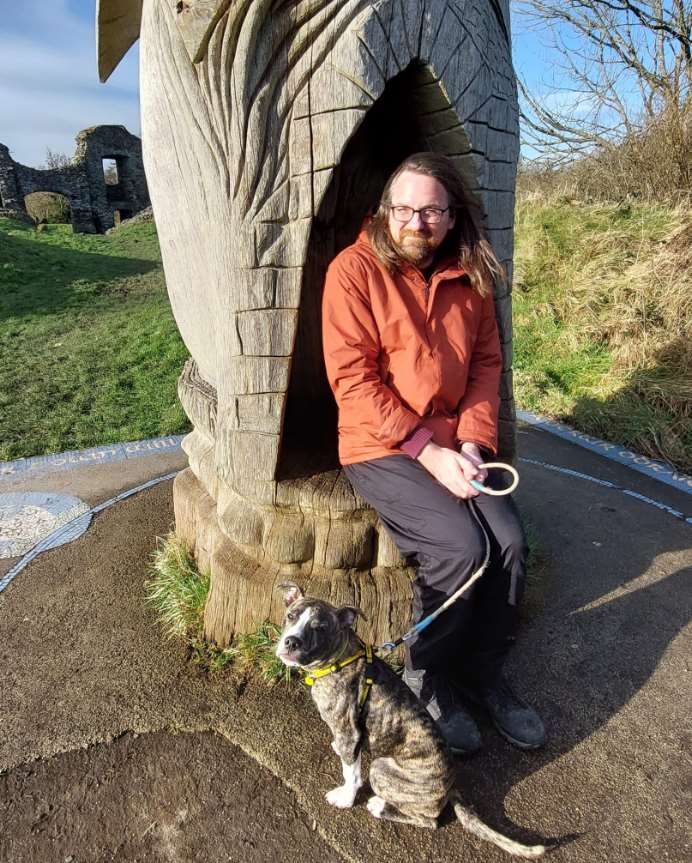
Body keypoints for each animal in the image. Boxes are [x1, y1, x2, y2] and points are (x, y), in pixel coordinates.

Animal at [276, 580, 548, 856]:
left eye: (319, 628)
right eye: (291, 616)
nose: (291, 642)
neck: (338, 659)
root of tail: (450, 785)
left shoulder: (348, 730)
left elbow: (351, 773)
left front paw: (345, 798)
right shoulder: (348, 736)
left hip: (381, 768)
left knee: (429, 820)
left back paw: (379, 806)